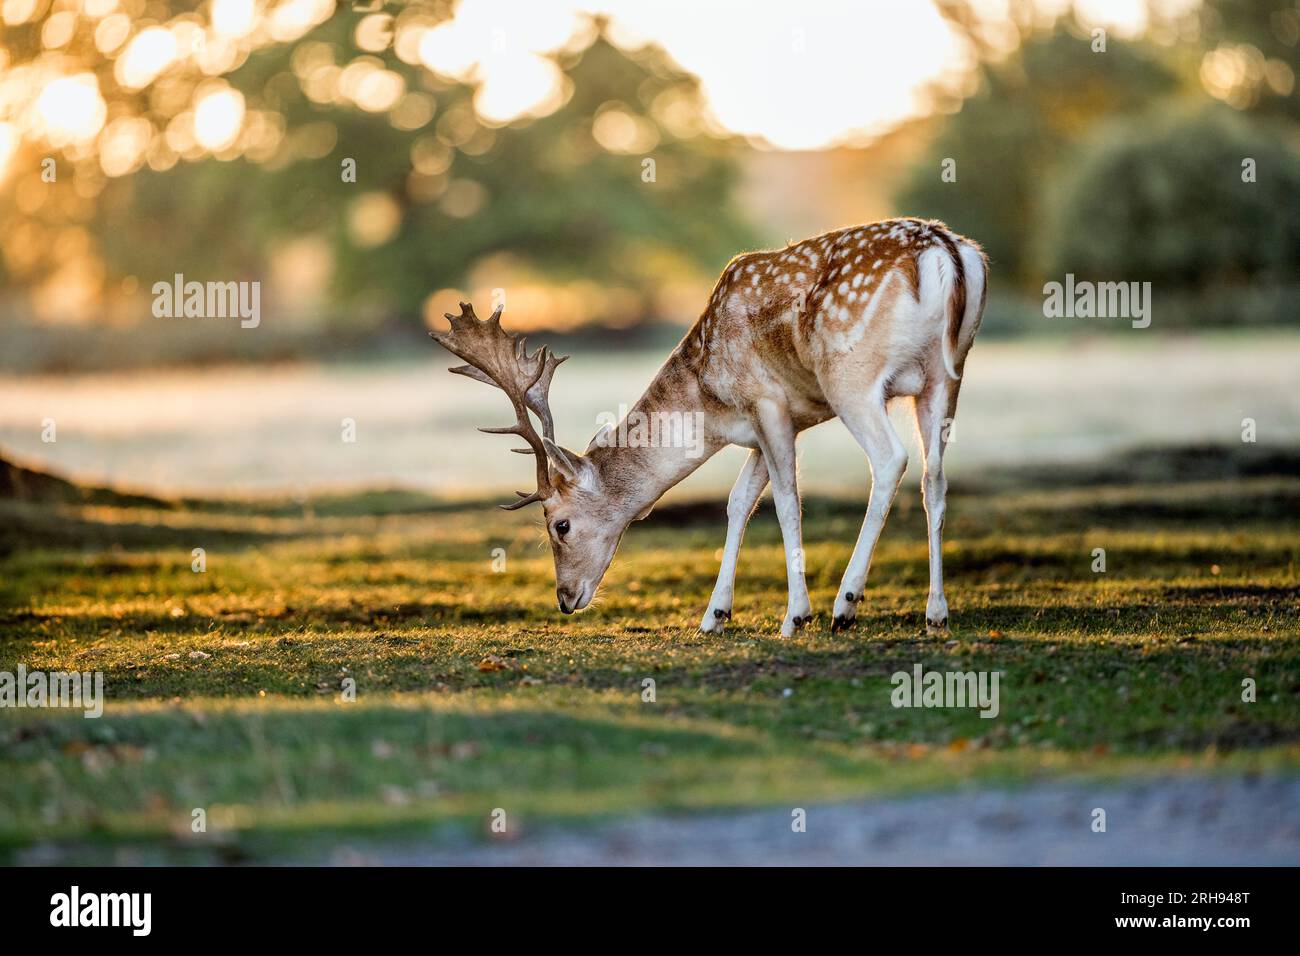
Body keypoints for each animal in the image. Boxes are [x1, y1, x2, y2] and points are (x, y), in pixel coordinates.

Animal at [431, 218, 987, 637]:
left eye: (559, 525)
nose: (565, 599)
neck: (712, 407)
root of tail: (948, 254)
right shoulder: (781, 421)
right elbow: (738, 501)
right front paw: (713, 616)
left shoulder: (766, 402)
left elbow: (786, 501)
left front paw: (794, 616)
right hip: (947, 374)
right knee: (935, 477)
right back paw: (937, 612)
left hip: (851, 376)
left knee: (891, 460)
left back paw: (844, 605)